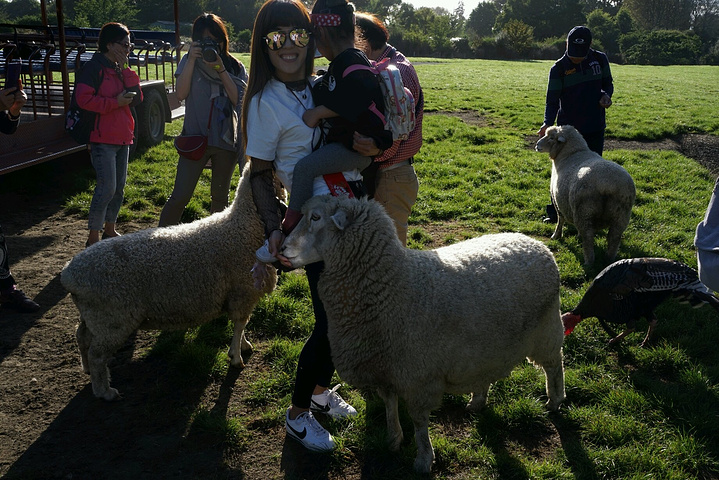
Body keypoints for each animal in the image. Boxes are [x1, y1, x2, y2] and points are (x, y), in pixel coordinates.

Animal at [59, 165, 276, 402]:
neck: (245, 226)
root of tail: (69, 273)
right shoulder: (242, 291)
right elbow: (239, 324)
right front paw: (236, 356)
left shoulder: (241, 295)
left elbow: (242, 324)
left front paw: (244, 345)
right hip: (112, 319)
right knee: (97, 355)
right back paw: (104, 391)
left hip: (95, 317)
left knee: (81, 337)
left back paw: (87, 370)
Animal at [278, 194, 564, 472]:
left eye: (315, 217)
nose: (281, 248)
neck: (391, 284)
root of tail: (533, 242)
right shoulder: (386, 369)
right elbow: (390, 405)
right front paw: (393, 440)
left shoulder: (417, 377)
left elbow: (418, 422)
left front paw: (424, 459)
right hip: (489, 346)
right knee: (487, 371)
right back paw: (477, 401)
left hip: (547, 330)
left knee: (553, 365)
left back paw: (555, 400)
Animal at [536, 124, 636, 266]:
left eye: (551, 137)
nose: (537, 145)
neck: (571, 153)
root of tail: (606, 184)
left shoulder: (557, 200)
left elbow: (560, 220)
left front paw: (556, 235)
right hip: (621, 215)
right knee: (614, 238)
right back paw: (609, 260)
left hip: (584, 211)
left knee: (588, 238)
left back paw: (588, 262)